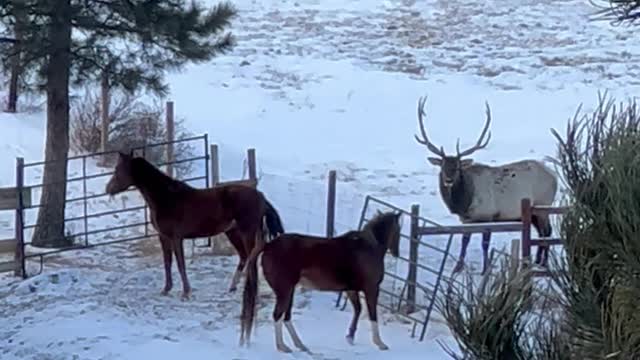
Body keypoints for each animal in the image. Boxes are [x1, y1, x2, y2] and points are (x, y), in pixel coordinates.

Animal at [105, 150, 284, 300]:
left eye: (118, 170)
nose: (108, 189)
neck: (166, 197)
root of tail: (260, 196)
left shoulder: (176, 237)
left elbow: (180, 264)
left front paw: (186, 292)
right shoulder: (164, 237)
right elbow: (167, 262)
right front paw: (166, 289)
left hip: (247, 230)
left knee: (253, 252)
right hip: (233, 232)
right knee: (244, 255)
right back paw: (233, 287)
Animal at [240, 211, 400, 352]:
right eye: (398, 230)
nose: (397, 253)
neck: (368, 247)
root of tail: (268, 246)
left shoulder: (351, 290)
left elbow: (358, 310)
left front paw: (350, 337)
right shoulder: (371, 289)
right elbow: (372, 315)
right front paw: (380, 343)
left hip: (289, 291)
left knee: (286, 317)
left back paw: (300, 345)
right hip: (284, 291)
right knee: (278, 315)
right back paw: (282, 347)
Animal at [416, 95, 556, 272]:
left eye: (458, 167)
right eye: (442, 166)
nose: (448, 180)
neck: (465, 202)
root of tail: (554, 176)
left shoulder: (488, 215)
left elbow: (485, 243)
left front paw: (485, 268)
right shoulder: (466, 220)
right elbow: (465, 240)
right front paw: (458, 267)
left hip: (543, 206)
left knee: (547, 232)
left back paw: (543, 263)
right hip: (534, 213)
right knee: (543, 232)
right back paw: (537, 261)